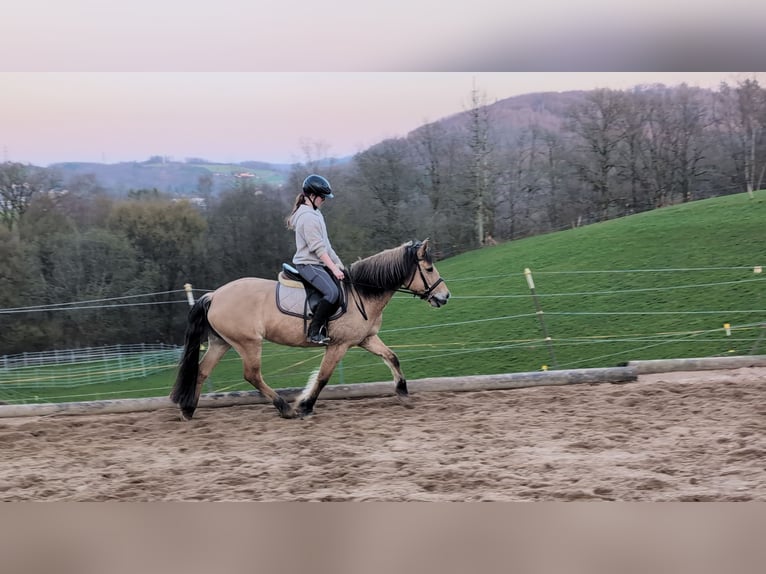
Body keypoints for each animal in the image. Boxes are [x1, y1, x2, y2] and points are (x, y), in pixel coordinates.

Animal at [170, 239, 450, 420]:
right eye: (428, 268)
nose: (444, 296)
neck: (361, 293)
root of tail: (214, 296)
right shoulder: (339, 345)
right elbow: (323, 377)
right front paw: (305, 405)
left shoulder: (366, 339)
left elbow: (392, 357)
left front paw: (402, 393)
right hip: (248, 343)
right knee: (252, 375)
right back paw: (285, 408)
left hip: (222, 342)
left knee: (202, 371)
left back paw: (188, 410)